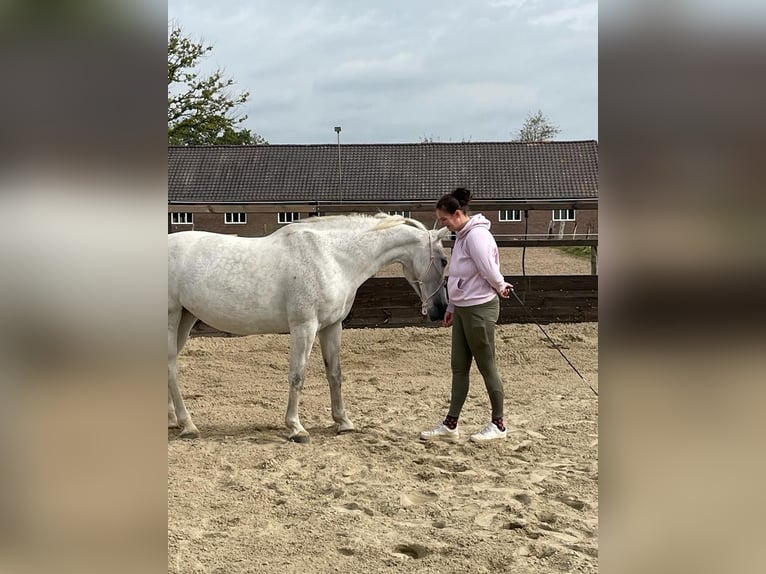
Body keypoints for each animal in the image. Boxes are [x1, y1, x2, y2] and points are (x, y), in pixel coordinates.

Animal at [168, 214, 450, 444]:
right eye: (444, 260)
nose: (439, 309)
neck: (332, 257)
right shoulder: (304, 327)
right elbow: (298, 375)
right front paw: (296, 428)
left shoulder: (331, 327)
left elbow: (335, 374)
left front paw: (343, 422)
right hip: (171, 319)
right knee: (172, 367)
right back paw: (188, 425)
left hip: (186, 319)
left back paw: (173, 420)